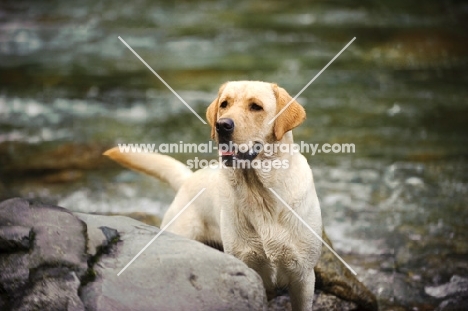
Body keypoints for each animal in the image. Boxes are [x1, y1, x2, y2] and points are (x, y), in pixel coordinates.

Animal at [104, 81, 322, 310]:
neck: (259, 194)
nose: (222, 125)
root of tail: (189, 178)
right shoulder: (246, 268)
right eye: (224, 104)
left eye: (256, 107)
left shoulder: (303, 276)